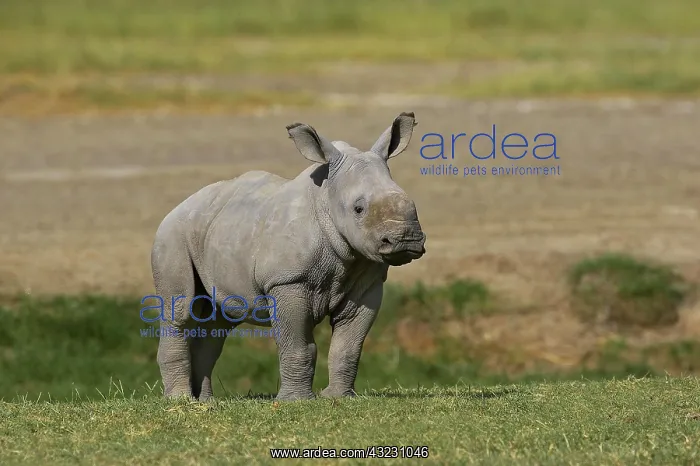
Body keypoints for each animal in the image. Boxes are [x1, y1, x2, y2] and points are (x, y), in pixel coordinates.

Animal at [151, 111, 427, 401]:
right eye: (358, 209)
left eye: (412, 203)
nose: (406, 239)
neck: (327, 201)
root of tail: (178, 206)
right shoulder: (288, 280)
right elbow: (298, 344)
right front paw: (296, 401)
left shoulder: (367, 283)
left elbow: (348, 346)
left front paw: (337, 397)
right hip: (172, 234)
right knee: (179, 310)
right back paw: (181, 400)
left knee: (218, 321)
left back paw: (204, 401)